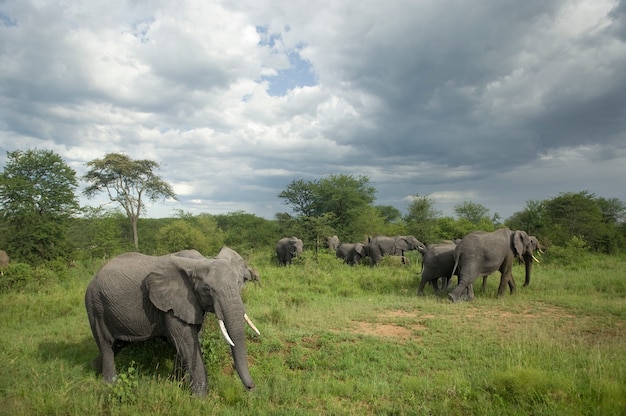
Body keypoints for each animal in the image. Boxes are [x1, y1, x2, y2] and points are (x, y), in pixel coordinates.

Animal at [84, 250, 258, 396]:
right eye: (207, 290)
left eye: (239, 283)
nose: (251, 387)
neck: (199, 262)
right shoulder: (171, 306)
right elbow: (186, 342)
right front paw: (200, 398)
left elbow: (190, 340)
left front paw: (175, 382)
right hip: (95, 305)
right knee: (106, 342)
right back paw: (109, 384)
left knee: (118, 344)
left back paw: (93, 368)